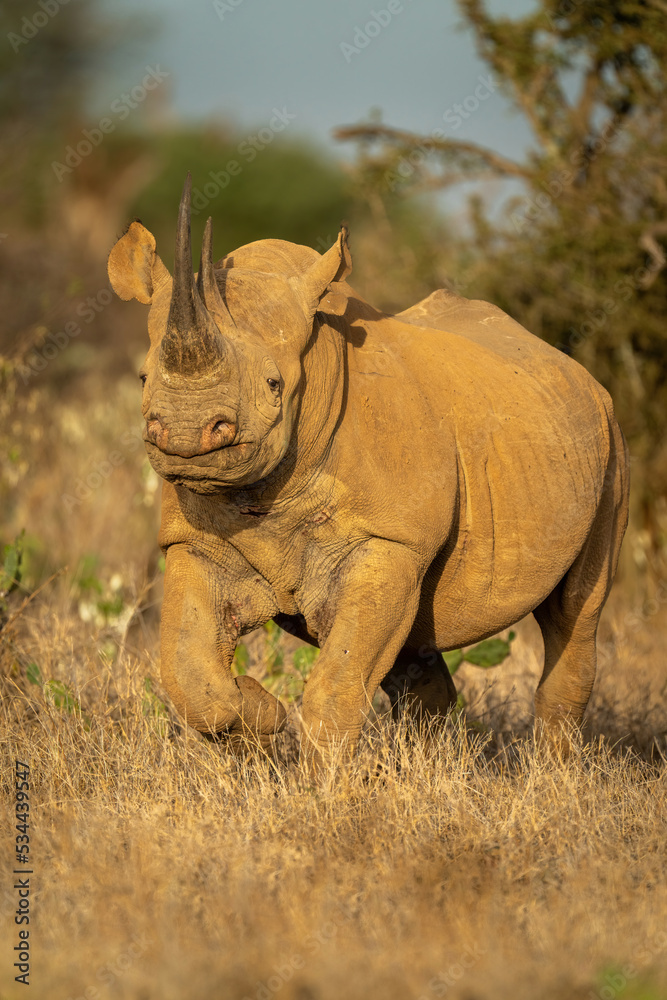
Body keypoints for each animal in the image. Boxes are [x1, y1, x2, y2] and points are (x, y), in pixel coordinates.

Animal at [108, 174, 629, 763]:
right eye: (144, 378)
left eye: (273, 385)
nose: (183, 434)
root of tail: (572, 367)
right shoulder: (193, 539)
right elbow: (187, 674)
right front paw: (262, 718)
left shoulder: (389, 538)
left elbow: (339, 678)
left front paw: (326, 778)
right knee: (416, 639)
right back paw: (427, 760)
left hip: (609, 442)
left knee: (575, 612)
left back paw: (550, 769)